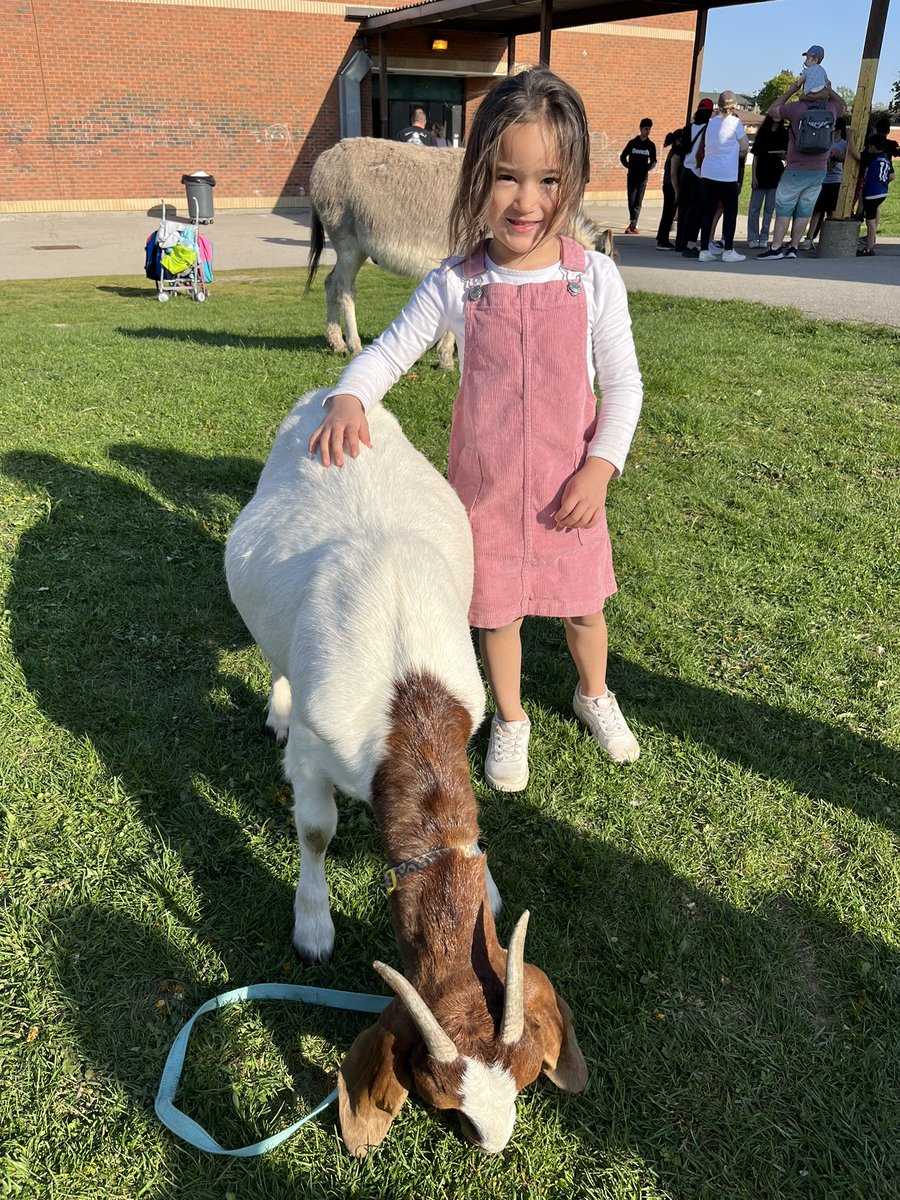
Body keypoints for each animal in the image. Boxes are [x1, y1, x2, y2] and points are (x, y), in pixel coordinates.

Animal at [224, 391, 588, 1152]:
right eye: (442, 1098)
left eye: (524, 1076)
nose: (493, 1143)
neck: (408, 703)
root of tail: (328, 396)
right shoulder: (314, 750)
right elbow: (316, 831)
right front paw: (313, 928)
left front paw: (490, 888)